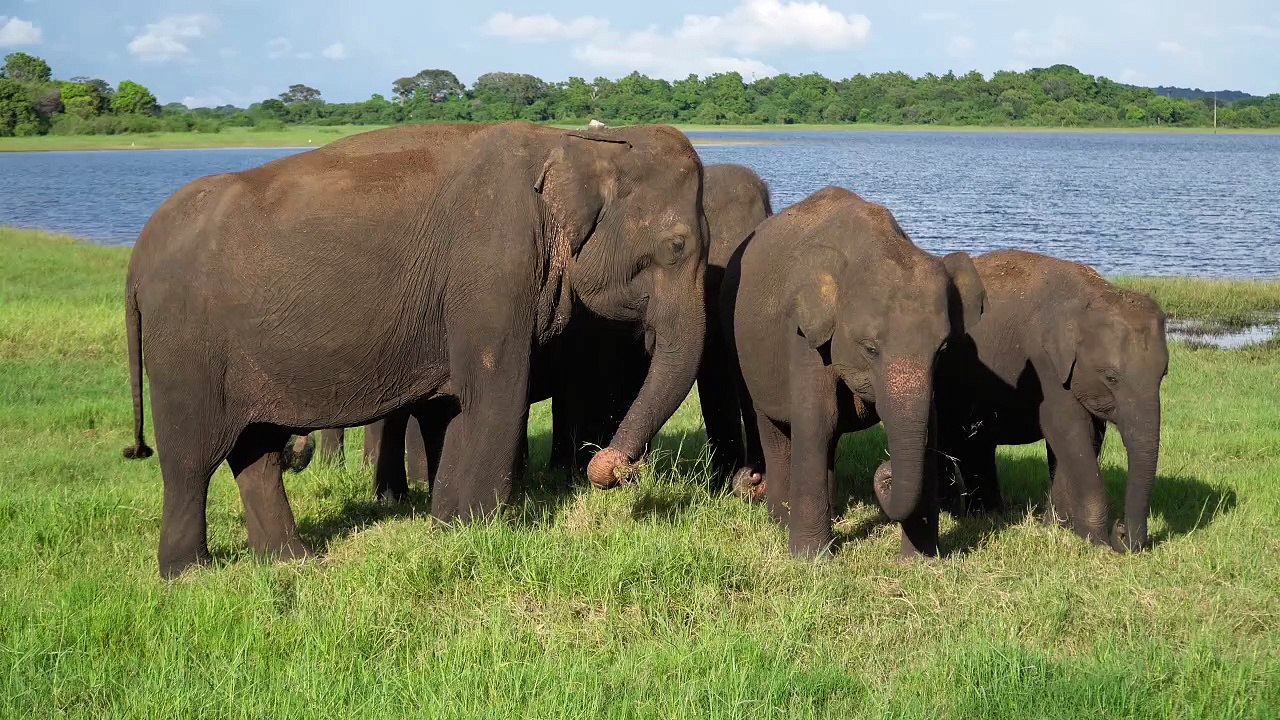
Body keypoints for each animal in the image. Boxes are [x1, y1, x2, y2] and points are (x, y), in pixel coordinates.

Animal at [122, 121, 710, 578]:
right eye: (677, 245)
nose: (609, 470)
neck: (577, 144)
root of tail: (137, 255)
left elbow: (454, 407)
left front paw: (445, 526)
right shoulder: (494, 269)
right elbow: (496, 394)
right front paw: (478, 529)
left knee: (257, 451)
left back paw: (292, 561)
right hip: (185, 346)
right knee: (191, 459)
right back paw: (190, 574)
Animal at [720, 186, 985, 558]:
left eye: (943, 349)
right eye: (870, 348)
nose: (886, 472)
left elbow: (929, 424)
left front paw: (919, 562)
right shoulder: (803, 333)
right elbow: (818, 417)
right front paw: (811, 559)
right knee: (771, 425)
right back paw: (780, 520)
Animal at [920, 249, 1168, 552]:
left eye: (1163, 374)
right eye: (1111, 378)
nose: (1121, 533)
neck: (1093, 294)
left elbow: (1085, 436)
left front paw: (1056, 527)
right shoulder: (1044, 364)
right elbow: (1068, 431)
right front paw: (1095, 540)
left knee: (975, 442)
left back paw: (987, 514)